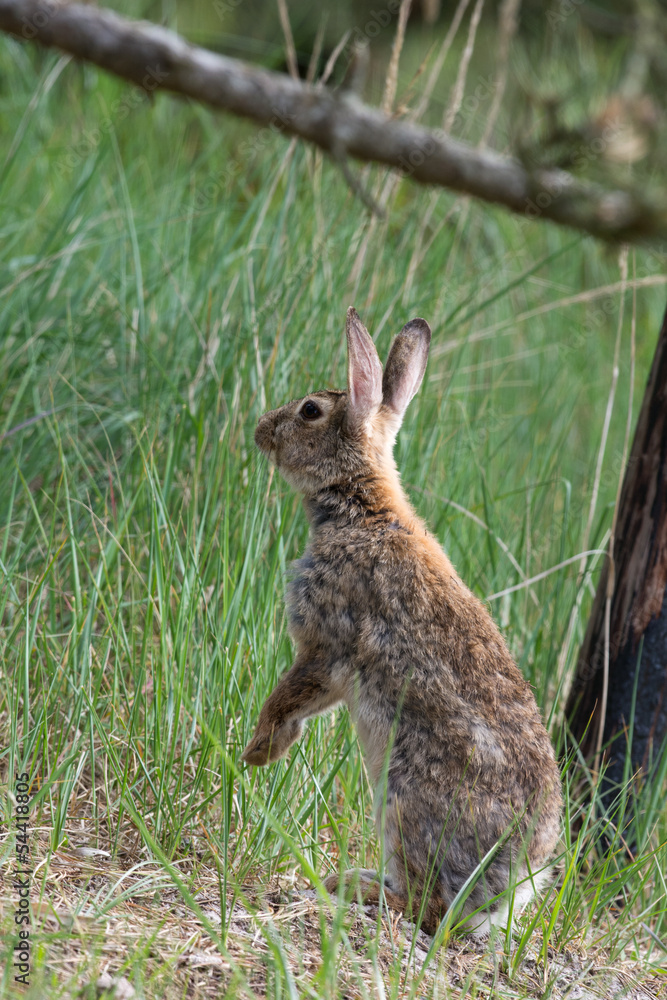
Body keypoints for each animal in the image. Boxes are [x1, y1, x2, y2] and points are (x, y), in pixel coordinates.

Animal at [241, 307, 562, 937]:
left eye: (309, 411)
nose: (263, 428)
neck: (363, 507)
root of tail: (514, 880)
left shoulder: (326, 644)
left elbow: (291, 694)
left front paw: (258, 752)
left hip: (403, 798)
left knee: (427, 906)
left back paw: (354, 887)